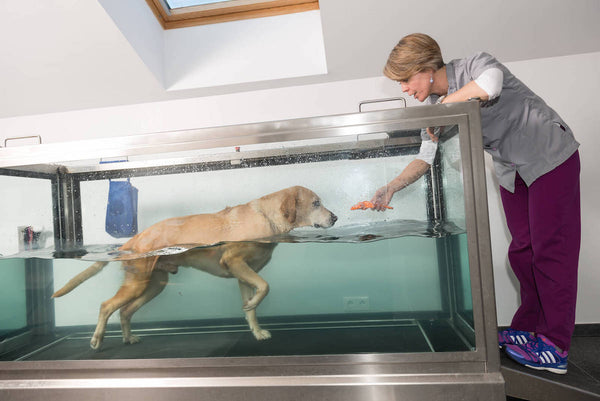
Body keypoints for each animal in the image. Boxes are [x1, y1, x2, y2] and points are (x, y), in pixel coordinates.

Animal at [52, 186, 338, 348]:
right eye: (316, 203)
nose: (335, 217)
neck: (267, 218)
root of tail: (134, 239)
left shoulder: (243, 276)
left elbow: (253, 306)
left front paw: (255, 328)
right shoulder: (234, 262)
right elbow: (266, 287)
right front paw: (253, 307)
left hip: (154, 286)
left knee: (125, 311)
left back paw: (128, 339)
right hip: (138, 284)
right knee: (106, 306)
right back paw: (97, 340)